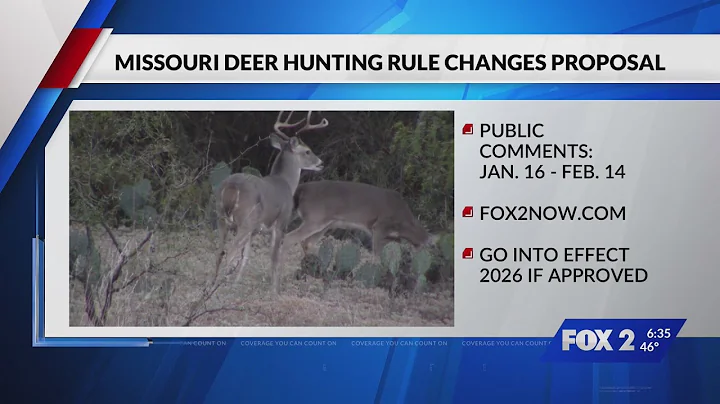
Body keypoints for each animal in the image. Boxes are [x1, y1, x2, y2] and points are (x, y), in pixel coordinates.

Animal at [214, 111, 327, 295]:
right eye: (307, 151)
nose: (321, 163)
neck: (285, 183)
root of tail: (232, 186)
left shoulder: (255, 230)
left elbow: (246, 257)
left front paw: (236, 284)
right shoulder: (281, 223)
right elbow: (273, 257)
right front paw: (274, 290)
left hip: (222, 217)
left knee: (219, 252)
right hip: (245, 220)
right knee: (230, 252)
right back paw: (217, 290)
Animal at [284, 181, 438, 257]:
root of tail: (301, 189)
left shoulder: (384, 235)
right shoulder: (379, 226)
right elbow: (376, 257)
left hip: (324, 223)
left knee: (306, 243)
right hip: (315, 218)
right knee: (288, 238)